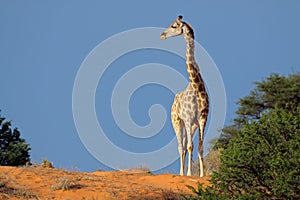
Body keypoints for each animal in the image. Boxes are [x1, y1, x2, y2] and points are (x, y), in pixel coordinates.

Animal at [159, 16, 209, 177]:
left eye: (173, 26)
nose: (162, 35)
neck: (197, 88)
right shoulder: (187, 118)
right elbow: (189, 146)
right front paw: (188, 174)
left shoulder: (202, 119)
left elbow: (199, 147)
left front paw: (201, 175)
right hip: (177, 121)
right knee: (181, 146)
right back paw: (180, 173)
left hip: (191, 126)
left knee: (186, 146)